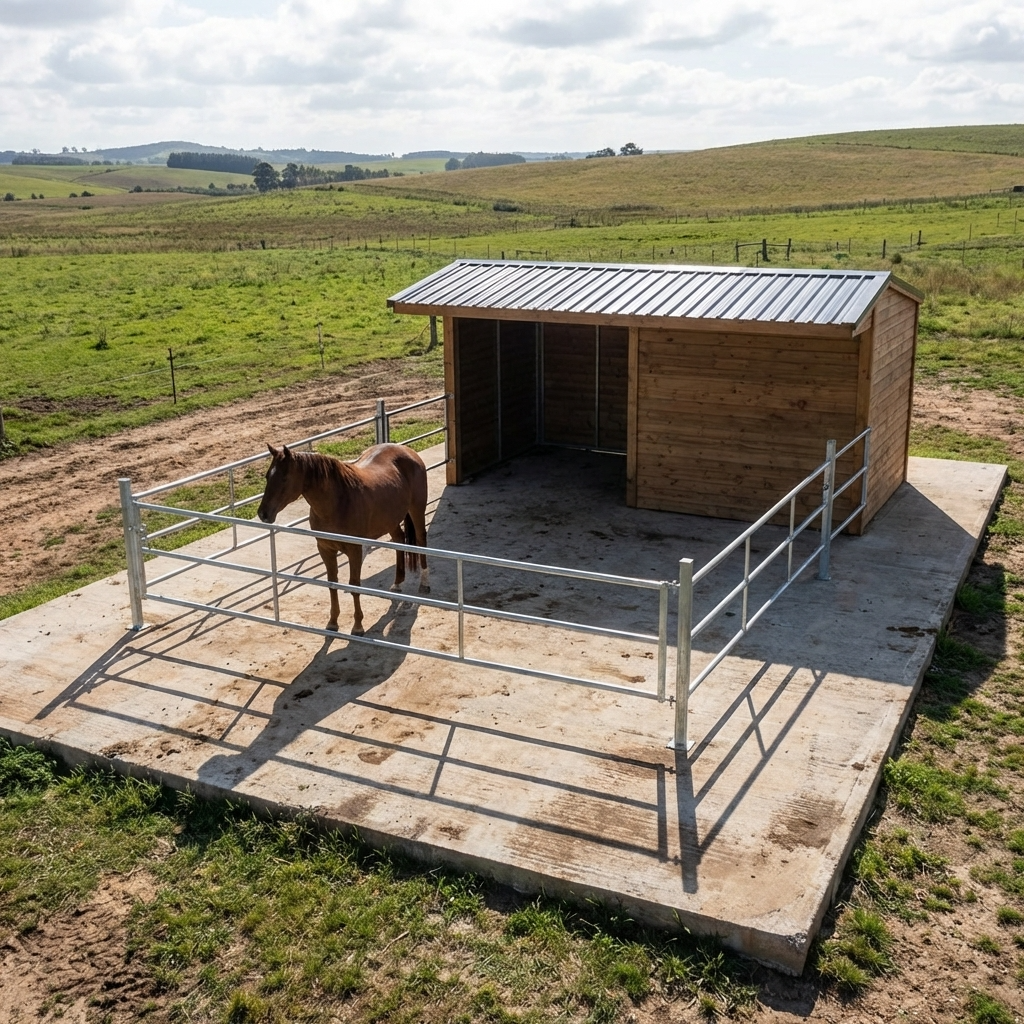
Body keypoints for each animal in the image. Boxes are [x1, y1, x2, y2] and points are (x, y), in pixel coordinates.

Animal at [257, 442, 429, 635]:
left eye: (285, 478)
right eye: (267, 476)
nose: (263, 514)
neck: (338, 503)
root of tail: (407, 450)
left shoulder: (355, 550)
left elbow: (354, 586)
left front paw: (358, 626)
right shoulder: (325, 549)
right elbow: (332, 584)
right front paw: (333, 622)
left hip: (417, 509)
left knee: (421, 541)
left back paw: (424, 583)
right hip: (390, 519)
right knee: (399, 539)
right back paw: (398, 583)